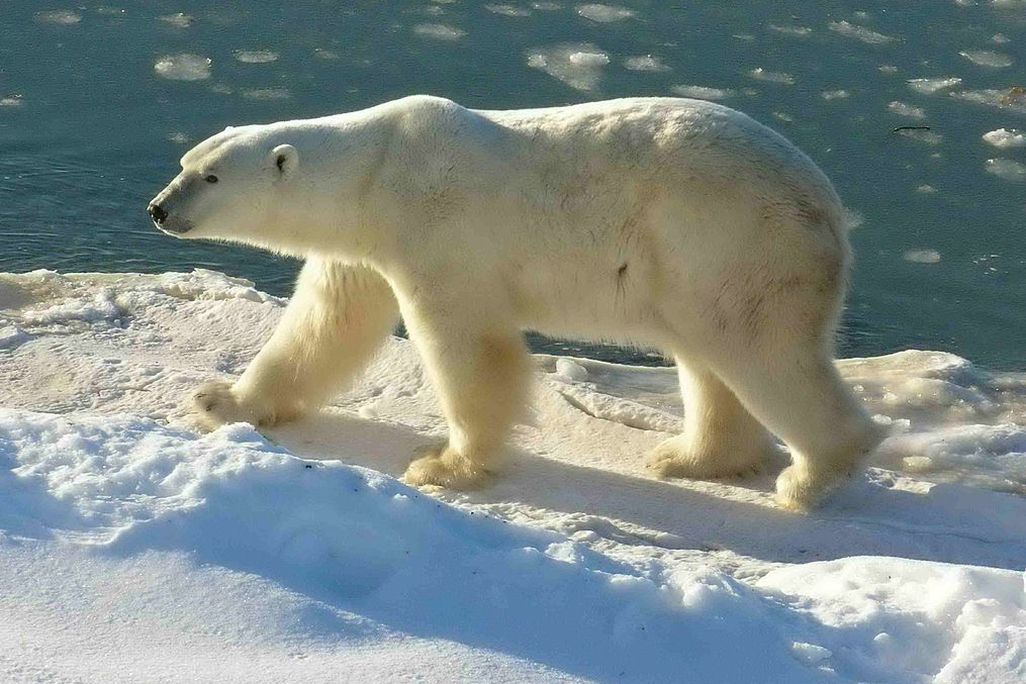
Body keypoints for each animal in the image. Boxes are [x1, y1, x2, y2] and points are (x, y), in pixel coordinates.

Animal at [148, 95, 884, 510]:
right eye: (184, 162)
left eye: (210, 177)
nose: (157, 208)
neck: (376, 168)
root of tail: (831, 207)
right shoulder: (364, 247)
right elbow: (325, 324)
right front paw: (221, 400)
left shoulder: (438, 229)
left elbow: (468, 345)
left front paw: (446, 466)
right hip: (696, 265)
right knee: (708, 356)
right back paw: (691, 457)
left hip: (736, 242)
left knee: (761, 351)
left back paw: (811, 478)